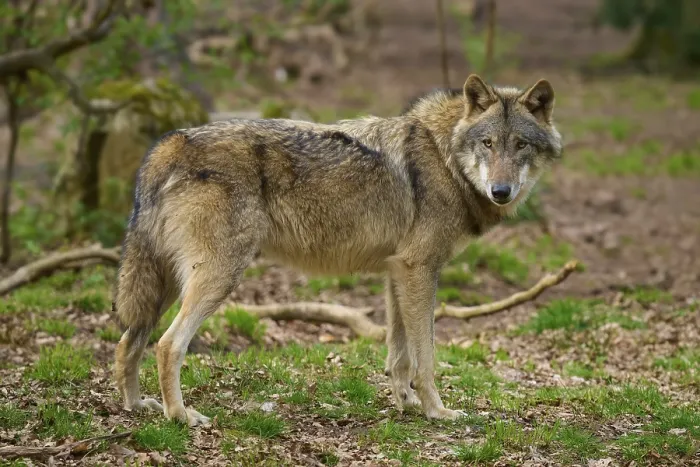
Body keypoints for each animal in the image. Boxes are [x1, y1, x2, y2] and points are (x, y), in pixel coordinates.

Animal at [113, 74, 562, 426]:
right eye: (487, 143)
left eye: (520, 145)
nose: (501, 191)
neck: (444, 155)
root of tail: (170, 143)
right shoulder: (419, 269)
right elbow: (426, 356)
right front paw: (437, 411)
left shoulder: (397, 271)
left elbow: (399, 354)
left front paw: (406, 403)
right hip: (217, 278)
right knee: (168, 345)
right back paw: (180, 417)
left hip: (167, 282)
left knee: (128, 341)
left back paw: (136, 405)